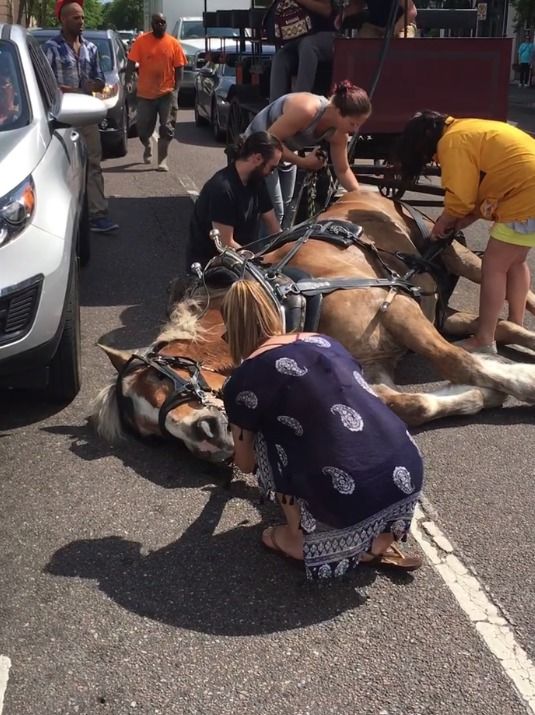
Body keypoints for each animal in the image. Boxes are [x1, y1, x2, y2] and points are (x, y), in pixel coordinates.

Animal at [91, 190, 535, 462]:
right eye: (153, 436)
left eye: (161, 377)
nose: (208, 438)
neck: (285, 301)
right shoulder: (377, 364)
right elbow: (411, 405)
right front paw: (481, 394)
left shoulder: (395, 309)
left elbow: (455, 361)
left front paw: (523, 382)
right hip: (441, 312)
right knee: (500, 327)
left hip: (459, 257)